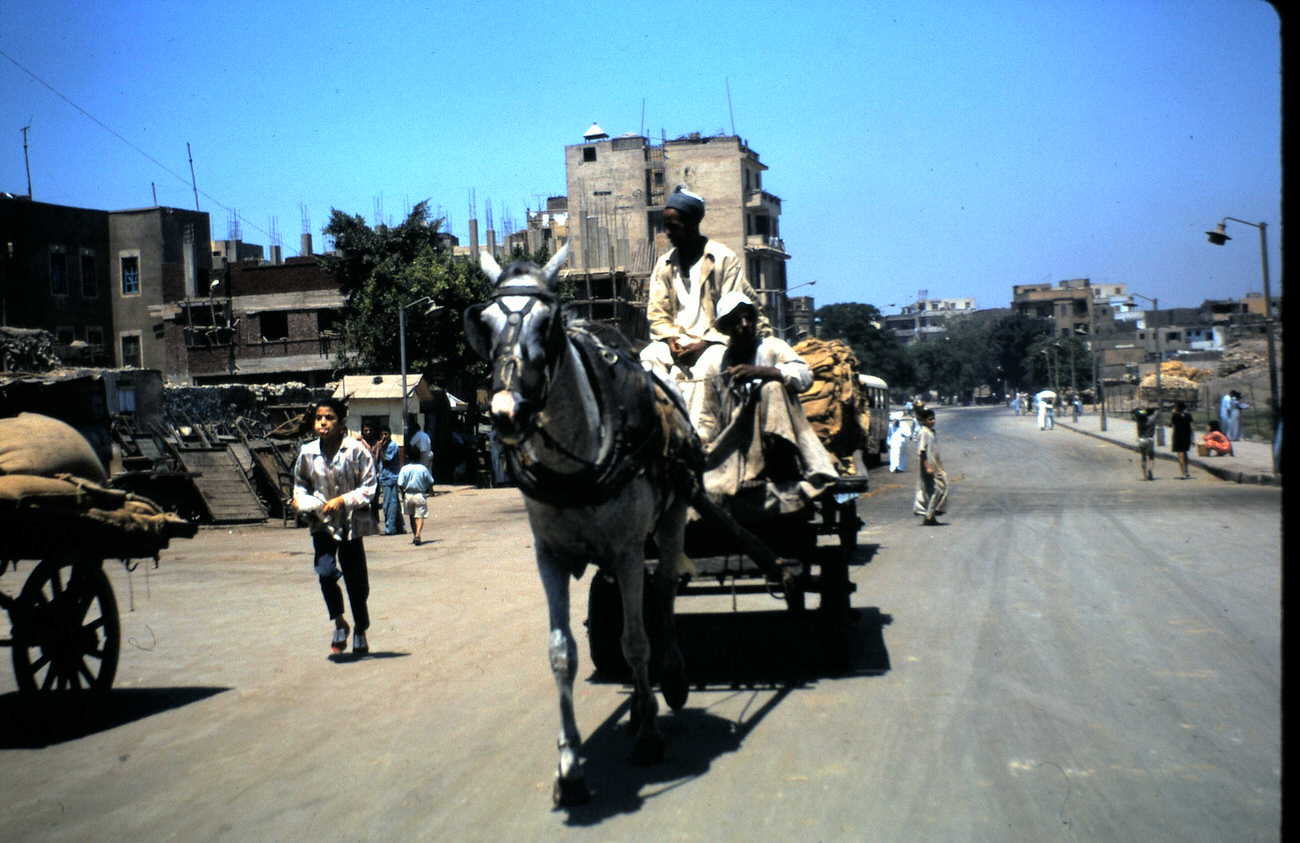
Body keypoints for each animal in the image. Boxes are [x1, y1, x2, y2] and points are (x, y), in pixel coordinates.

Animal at [467, 243, 702, 801]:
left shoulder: (628, 550)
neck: (577, 457)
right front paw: (570, 764)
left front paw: (648, 735)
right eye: (486, 323)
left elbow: (635, 641)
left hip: (670, 519)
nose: (506, 412)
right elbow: (561, 653)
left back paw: (669, 681)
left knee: (663, 593)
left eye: (548, 323)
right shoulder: (549, 556)